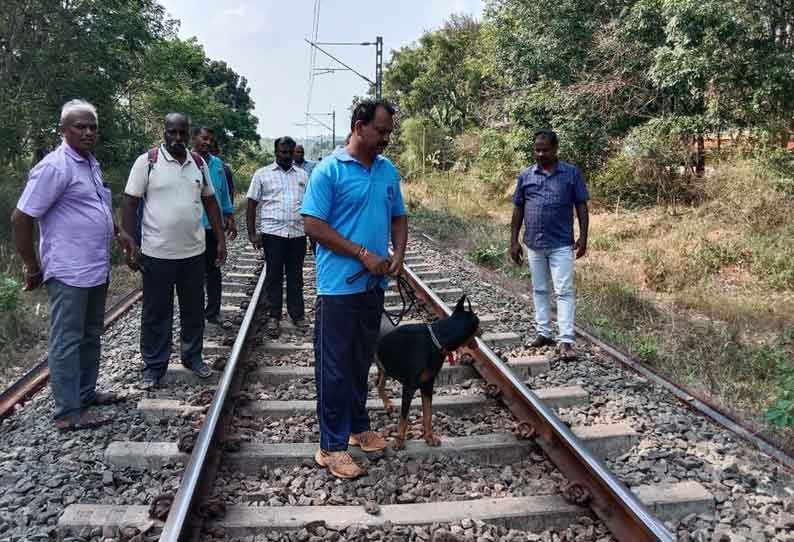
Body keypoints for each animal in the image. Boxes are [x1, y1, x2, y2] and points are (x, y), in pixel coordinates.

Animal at [376, 298, 480, 450]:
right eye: (478, 321)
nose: (482, 331)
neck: (437, 339)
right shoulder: (409, 386)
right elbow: (404, 417)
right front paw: (399, 440)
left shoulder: (427, 384)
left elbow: (428, 413)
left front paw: (429, 438)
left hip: (384, 364)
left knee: (379, 383)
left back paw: (387, 403)